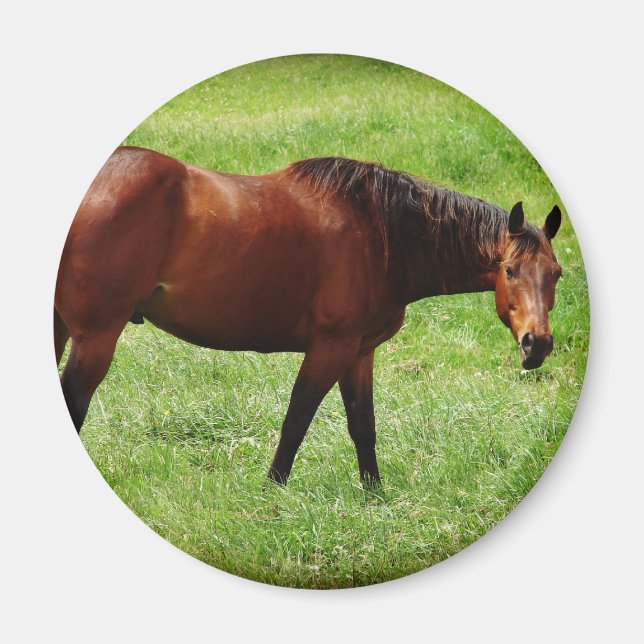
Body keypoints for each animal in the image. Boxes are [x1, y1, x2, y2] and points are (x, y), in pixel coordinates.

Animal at [55, 147, 563, 486]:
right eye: (510, 270)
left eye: (556, 274)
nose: (537, 345)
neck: (380, 233)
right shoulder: (330, 348)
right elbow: (297, 420)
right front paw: (271, 493)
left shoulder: (359, 353)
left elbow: (363, 427)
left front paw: (375, 497)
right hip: (96, 337)